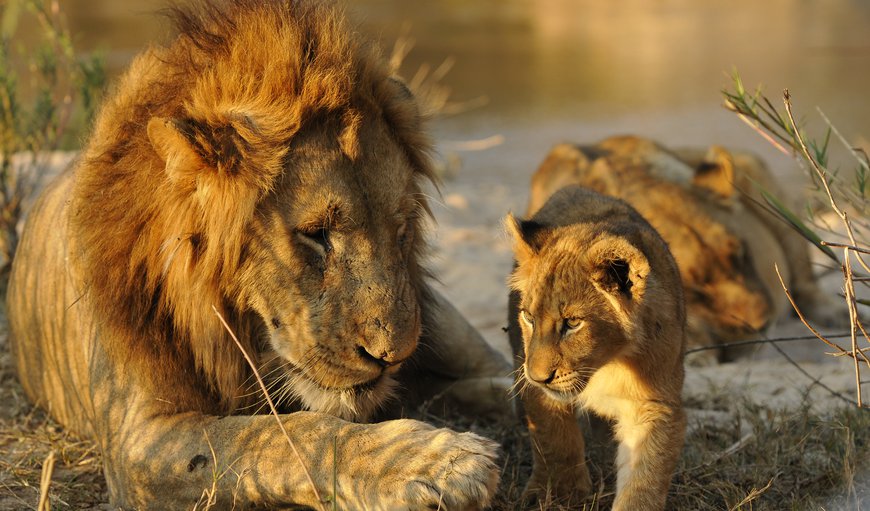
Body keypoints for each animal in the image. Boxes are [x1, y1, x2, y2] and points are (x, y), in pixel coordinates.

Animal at [8, 2, 510, 510]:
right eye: (316, 234)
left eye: (402, 229)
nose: (392, 357)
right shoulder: (138, 442)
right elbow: (278, 435)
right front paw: (435, 462)